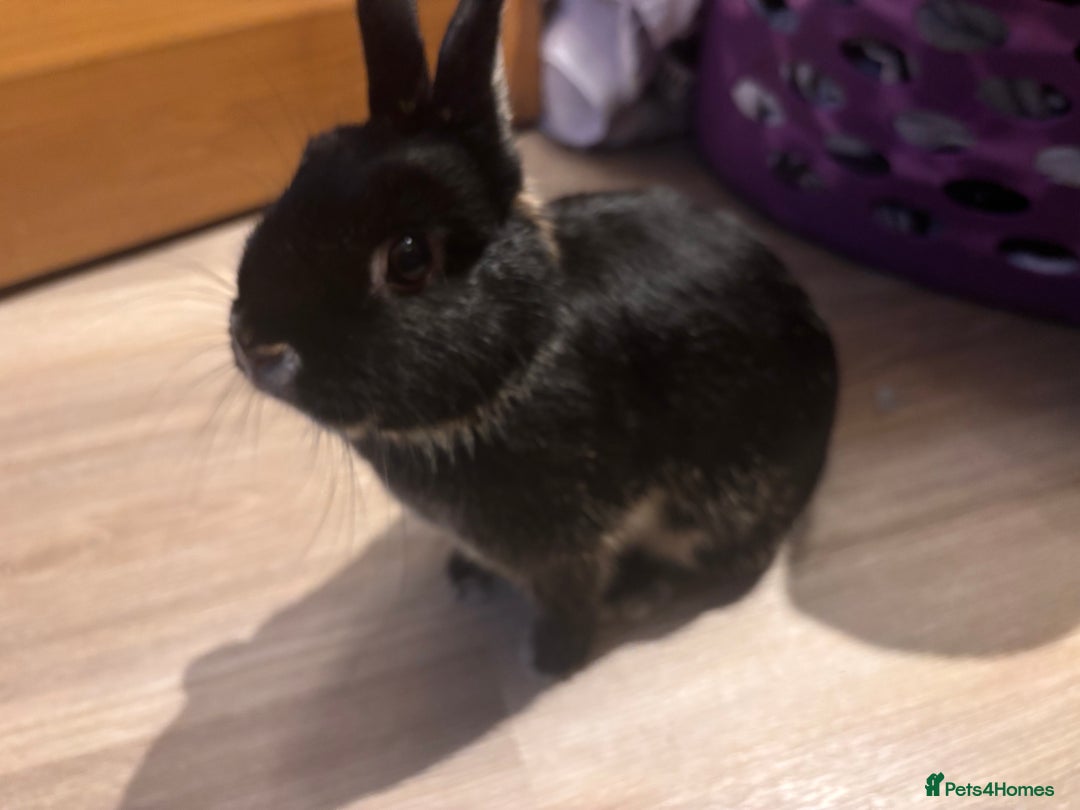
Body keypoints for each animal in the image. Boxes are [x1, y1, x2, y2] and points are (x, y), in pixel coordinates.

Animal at [229, 0, 839, 676]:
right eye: (311, 159)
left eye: (409, 258)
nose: (256, 348)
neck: (523, 356)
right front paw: (467, 577)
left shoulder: (569, 548)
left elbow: (569, 599)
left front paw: (551, 659)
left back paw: (640, 589)